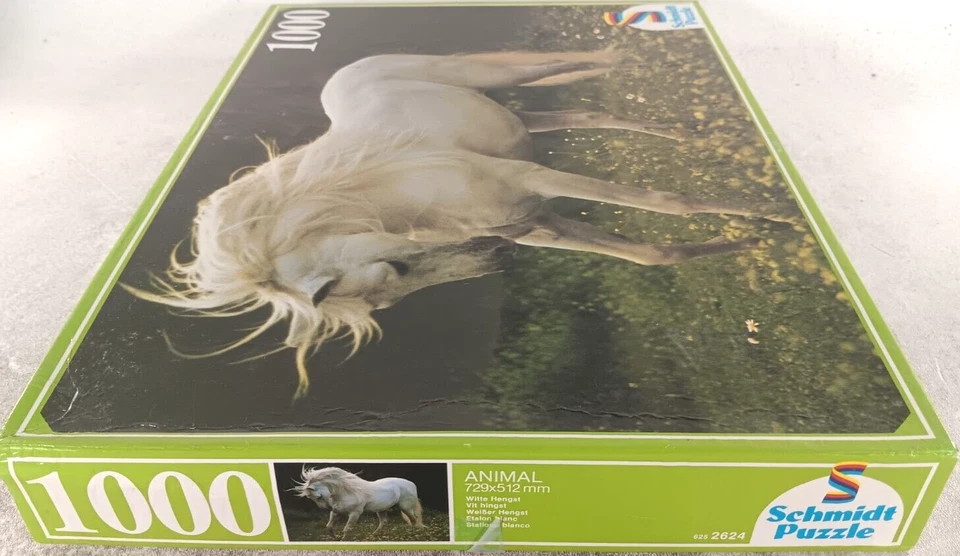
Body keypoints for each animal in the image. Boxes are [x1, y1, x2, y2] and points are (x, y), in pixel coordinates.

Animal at [124, 48, 770, 397]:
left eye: (395, 268)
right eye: (391, 286)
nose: (497, 259)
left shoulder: (537, 187)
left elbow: (670, 206)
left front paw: (772, 220)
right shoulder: (539, 219)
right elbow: (651, 253)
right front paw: (747, 243)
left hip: (491, 77)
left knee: (570, 64)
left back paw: (640, 45)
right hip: (520, 116)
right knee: (593, 112)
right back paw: (694, 136)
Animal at [293, 466, 423, 539]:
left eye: (318, 497)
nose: (327, 507)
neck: (347, 492)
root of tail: (412, 483)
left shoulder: (355, 514)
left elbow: (347, 529)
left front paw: (343, 540)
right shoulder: (336, 513)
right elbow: (329, 527)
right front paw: (335, 538)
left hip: (405, 507)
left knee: (414, 518)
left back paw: (414, 533)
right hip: (381, 510)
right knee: (384, 522)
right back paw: (372, 536)